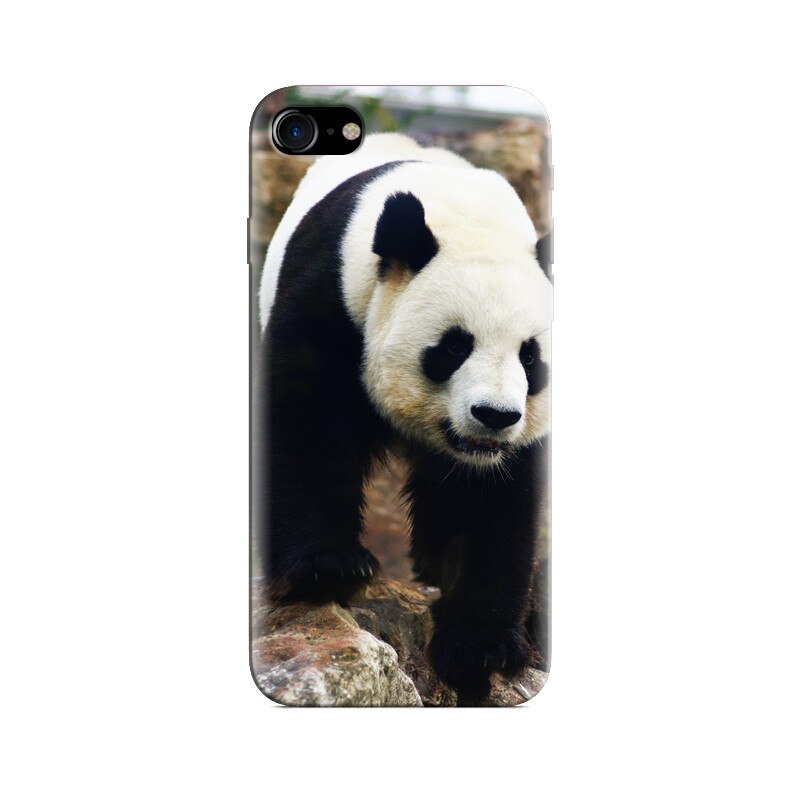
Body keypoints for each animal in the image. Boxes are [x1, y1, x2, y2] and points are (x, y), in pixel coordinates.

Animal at [255, 133, 552, 701]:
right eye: (454, 346)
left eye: (530, 356)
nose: (494, 416)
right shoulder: (332, 298)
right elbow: (307, 423)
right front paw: (328, 568)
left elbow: (492, 500)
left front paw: (481, 648)